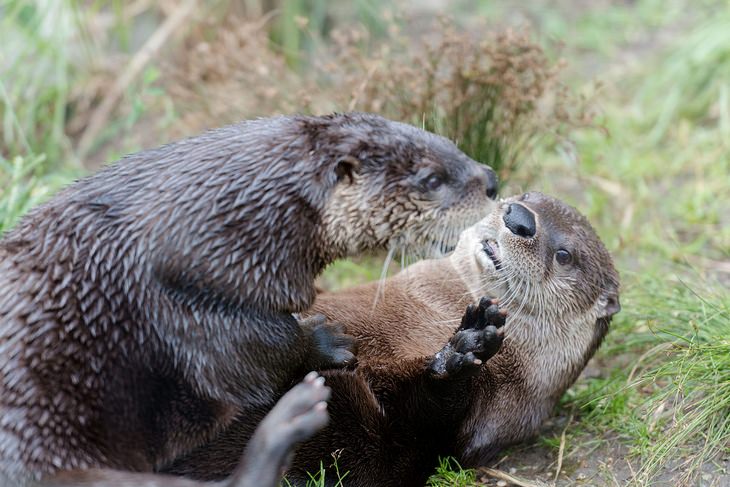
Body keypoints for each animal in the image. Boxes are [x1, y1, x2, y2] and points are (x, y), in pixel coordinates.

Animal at [0, 111, 494, 487]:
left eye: (451, 144)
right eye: (431, 179)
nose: (491, 178)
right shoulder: (185, 299)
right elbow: (254, 351)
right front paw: (327, 340)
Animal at [166, 193, 620, 486]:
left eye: (564, 254)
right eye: (524, 195)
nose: (519, 217)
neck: (425, 310)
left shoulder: (472, 426)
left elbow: (407, 435)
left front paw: (465, 350)